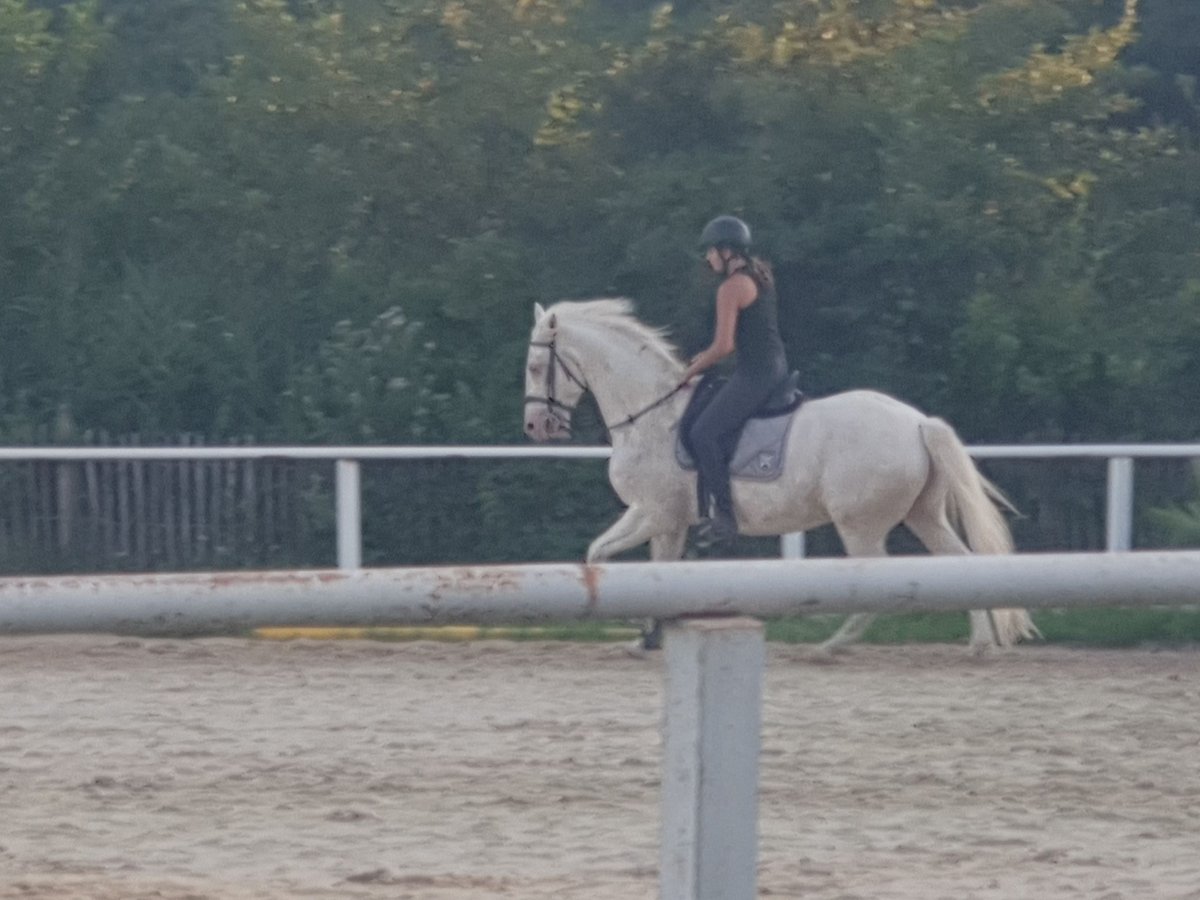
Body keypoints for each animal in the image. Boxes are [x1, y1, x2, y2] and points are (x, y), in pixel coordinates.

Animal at [523, 300, 1041, 652]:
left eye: (535, 365)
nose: (535, 427)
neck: (650, 414)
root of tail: (917, 422)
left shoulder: (655, 512)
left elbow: (608, 557)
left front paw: (639, 628)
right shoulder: (661, 519)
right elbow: (637, 565)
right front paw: (647, 634)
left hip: (861, 524)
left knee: (875, 580)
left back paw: (832, 645)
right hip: (923, 514)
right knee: (961, 564)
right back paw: (979, 643)